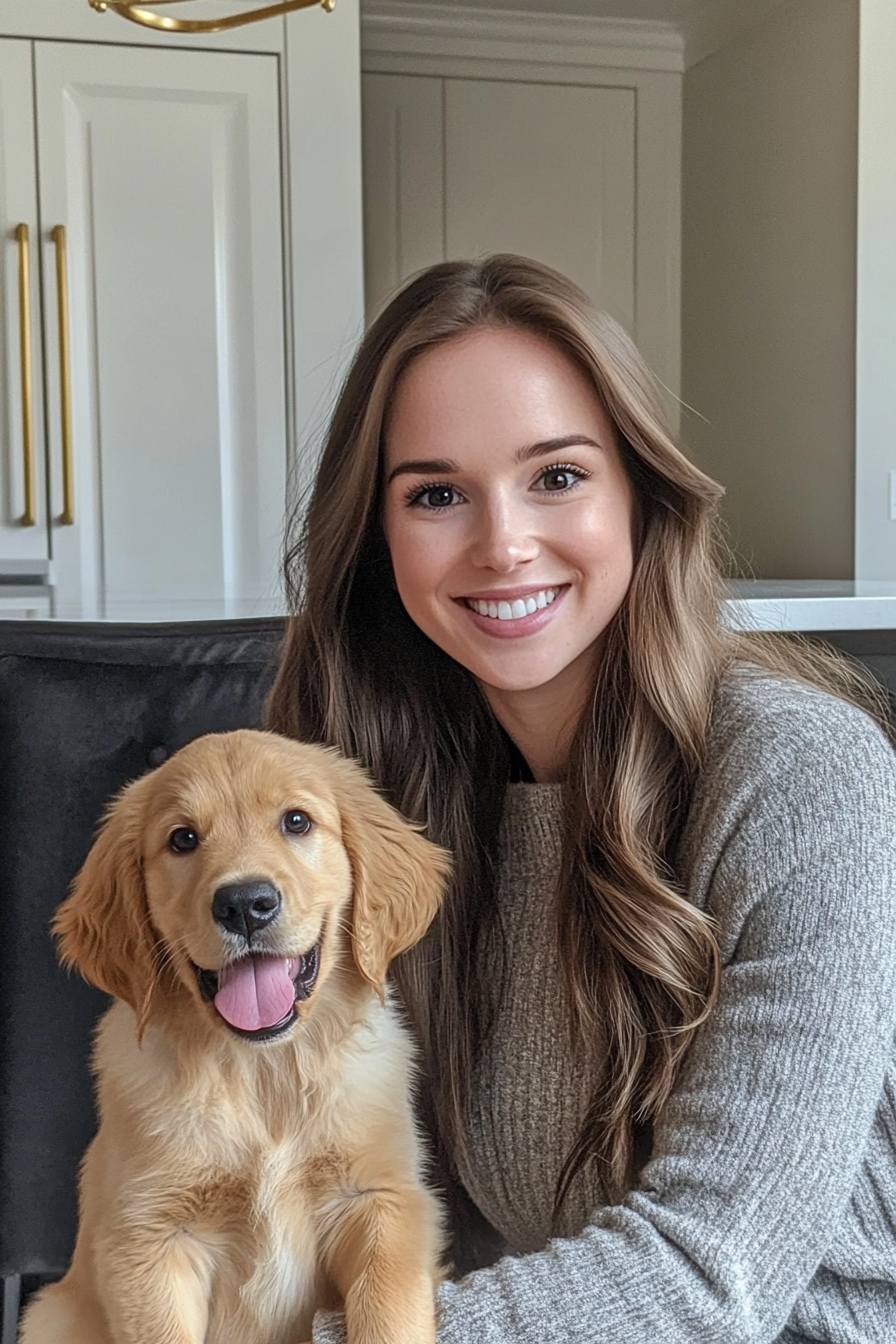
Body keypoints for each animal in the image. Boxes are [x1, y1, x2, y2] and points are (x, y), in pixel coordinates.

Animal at [20, 731, 451, 1344]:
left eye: (296, 821)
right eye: (182, 838)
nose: (245, 903)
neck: (263, 1071)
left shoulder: (382, 1201)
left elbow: (387, 1313)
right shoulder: (148, 1239)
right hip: (51, 1314)